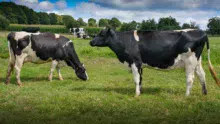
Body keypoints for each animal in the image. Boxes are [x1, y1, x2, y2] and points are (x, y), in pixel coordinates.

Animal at [90, 28, 220, 97]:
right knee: (202, 75)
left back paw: (186, 95)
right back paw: (204, 93)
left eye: (102, 34)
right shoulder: (140, 65)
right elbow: (140, 79)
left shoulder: (135, 62)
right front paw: (140, 92)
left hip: (190, 61)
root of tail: (201, 31)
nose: (91, 42)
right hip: (197, 61)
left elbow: (136, 79)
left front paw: (136, 94)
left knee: (190, 78)